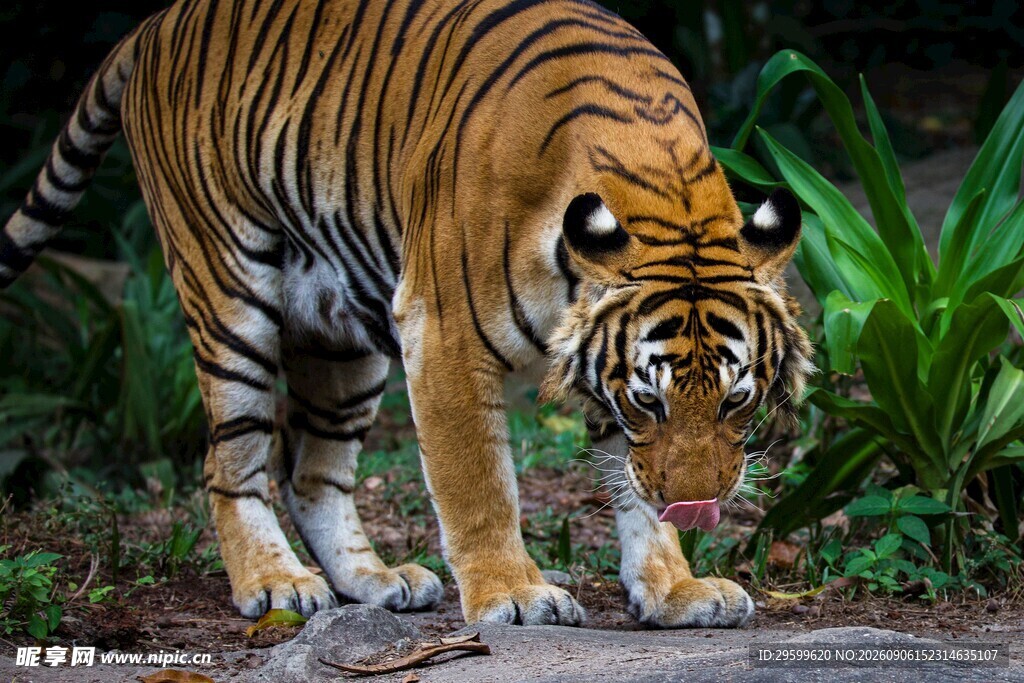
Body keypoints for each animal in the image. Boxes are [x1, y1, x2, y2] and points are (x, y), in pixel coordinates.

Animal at [0, 0, 812, 628]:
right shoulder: (442, 334)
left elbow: (631, 487)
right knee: (231, 462)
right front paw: (514, 594)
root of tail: (157, 20)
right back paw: (277, 581)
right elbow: (479, 482)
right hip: (229, 293)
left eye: (737, 402)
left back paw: (376, 580)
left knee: (313, 474)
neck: (659, 179)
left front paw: (675, 588)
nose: (696, 507)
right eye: (649, 402)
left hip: (342, 339)